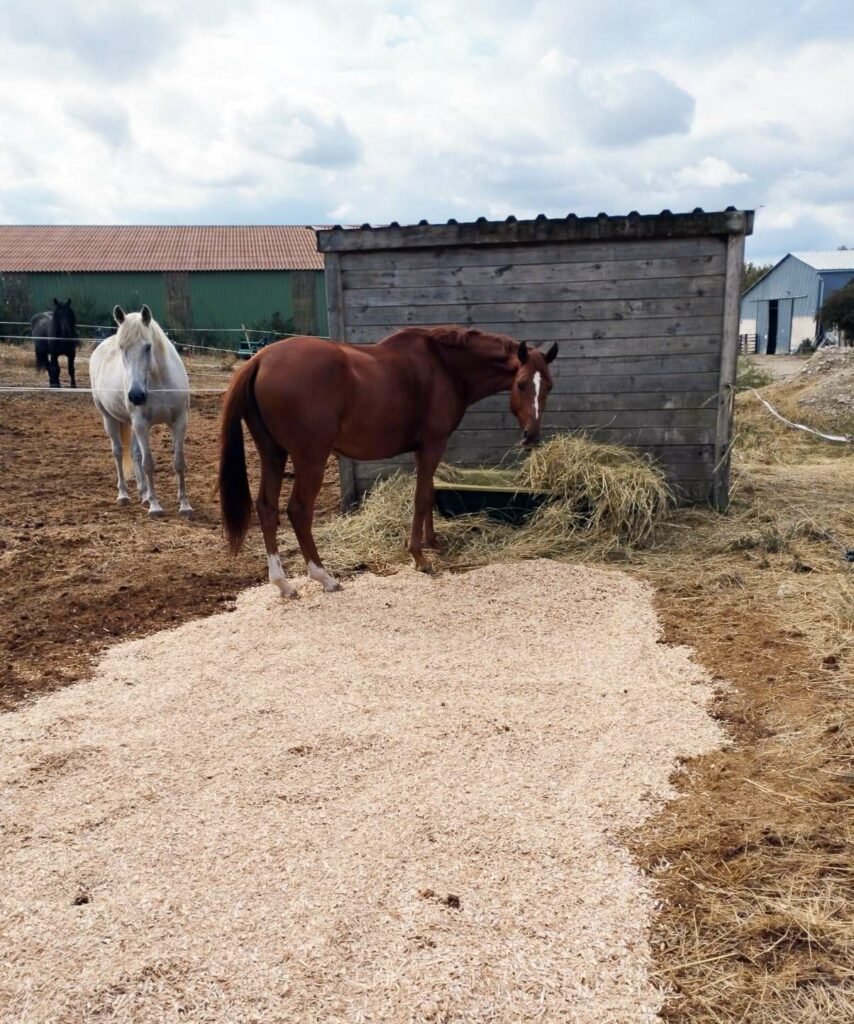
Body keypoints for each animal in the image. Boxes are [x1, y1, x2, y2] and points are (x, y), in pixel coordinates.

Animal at [92, 301, 193, 512]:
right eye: (122, 347)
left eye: (148, 347)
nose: (136, 396)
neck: (159, 382)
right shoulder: (141, 424)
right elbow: (148, 464)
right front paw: (155, 506)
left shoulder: (179, 421)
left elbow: (179, 462)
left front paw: (184, 504)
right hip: (110, 419)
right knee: (118, 452)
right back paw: (124, 494)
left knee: (135, 453)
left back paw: (143, 493)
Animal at [216, 327, 557, 598]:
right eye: (522, 384)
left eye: (549, 386)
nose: (532, 435)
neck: (444, 366)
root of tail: (260, 359)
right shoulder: (433, 444)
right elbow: (420, 498)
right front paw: (420, 557)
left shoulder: (424, 449)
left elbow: (428, 493)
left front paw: (433, 543)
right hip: (310, 458)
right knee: (298, 511)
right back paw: (324, 577)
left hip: (272, 454)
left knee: (267, 508)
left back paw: (283, 583)